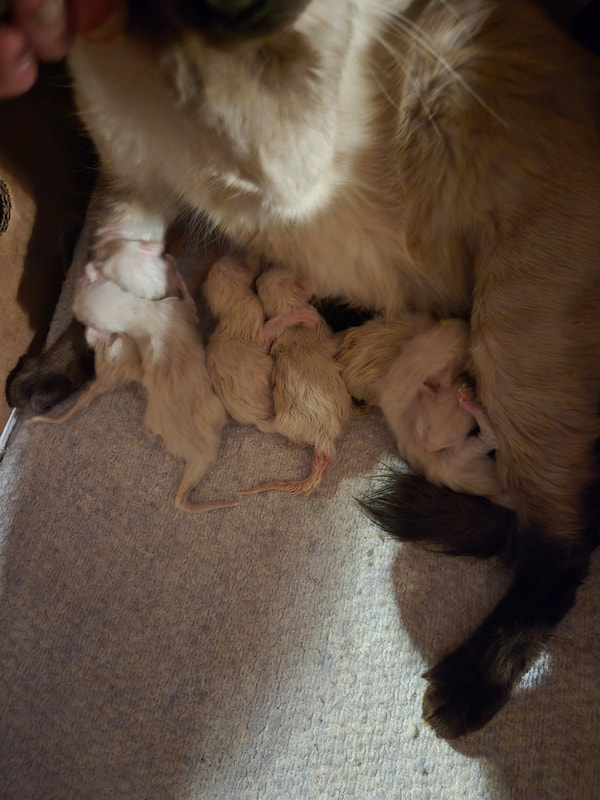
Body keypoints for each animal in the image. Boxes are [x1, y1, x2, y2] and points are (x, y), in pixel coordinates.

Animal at [6, 0, 600, 738]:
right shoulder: (134, 184)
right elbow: (100, 295)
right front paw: (52, 368)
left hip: (512, 333)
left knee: (559, 541)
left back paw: (466, 687)